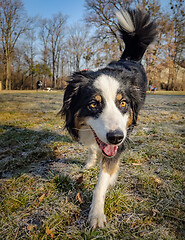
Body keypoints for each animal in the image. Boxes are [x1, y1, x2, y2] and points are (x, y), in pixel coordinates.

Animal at [60, 7, 158, 229]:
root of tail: (130, 58)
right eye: (93, 104)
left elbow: (102, 181)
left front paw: (96, 213)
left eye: (122, 103)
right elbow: (92, 147)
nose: (116, 138)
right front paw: (90, 162)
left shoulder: (120, 140)